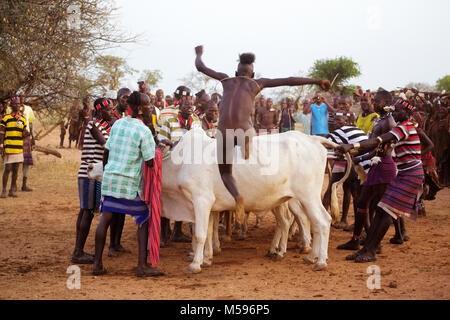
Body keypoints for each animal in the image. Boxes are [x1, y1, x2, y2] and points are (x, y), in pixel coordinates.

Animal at [160, 129, 350, 274]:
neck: (180, 163)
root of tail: (313, 139)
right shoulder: (211, 208)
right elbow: (208, 233)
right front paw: (206, 259)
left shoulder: (201, 201)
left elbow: (199, 235)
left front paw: (195, 264)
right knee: (310, 223)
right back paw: (309, 256)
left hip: (308, 196)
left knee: (321, 222)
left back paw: (320, 261)